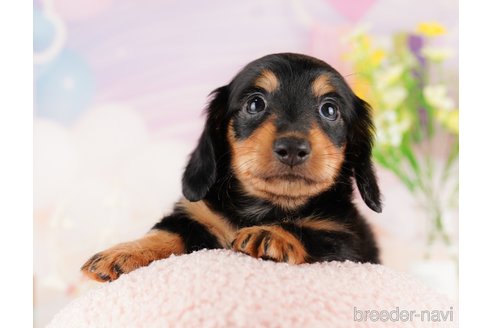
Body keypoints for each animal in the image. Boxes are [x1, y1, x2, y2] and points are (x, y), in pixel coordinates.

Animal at [80, 53, 382, 282]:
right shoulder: (196, 217)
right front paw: (122, 253)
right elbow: (166, 233)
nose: (293, 148)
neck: (266, 207)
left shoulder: (347, 239)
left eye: (330, 110)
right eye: (255, 103)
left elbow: (313, 233)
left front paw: (271, 233)